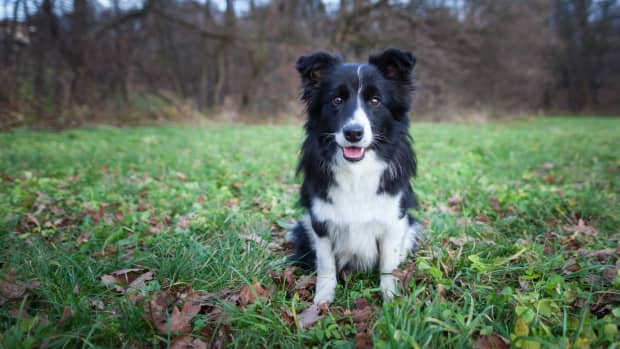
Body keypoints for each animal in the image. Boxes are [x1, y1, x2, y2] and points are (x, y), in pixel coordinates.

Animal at [290, 47, 422, 304]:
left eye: (375, 101)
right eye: (337, 100)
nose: (353, 133)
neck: (357, 172)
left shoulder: (393, 220)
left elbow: (388, 265)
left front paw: (390, 299)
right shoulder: (320, 221)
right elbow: (326, 264)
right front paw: (322, 300)